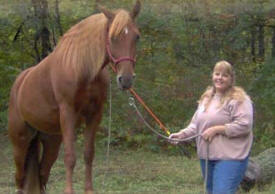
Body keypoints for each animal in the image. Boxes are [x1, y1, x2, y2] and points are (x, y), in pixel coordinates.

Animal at [7, 0, 141, 193]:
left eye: (136, 37)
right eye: (112, 37)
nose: (126, 79)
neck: (83, 69)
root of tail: (19, 83)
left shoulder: (95, 115)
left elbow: (88, 154)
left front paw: (89, 190)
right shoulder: (68, 114)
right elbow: (70, 157)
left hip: (51, 141)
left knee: (42, 174)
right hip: (20, 141)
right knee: (20, 178)